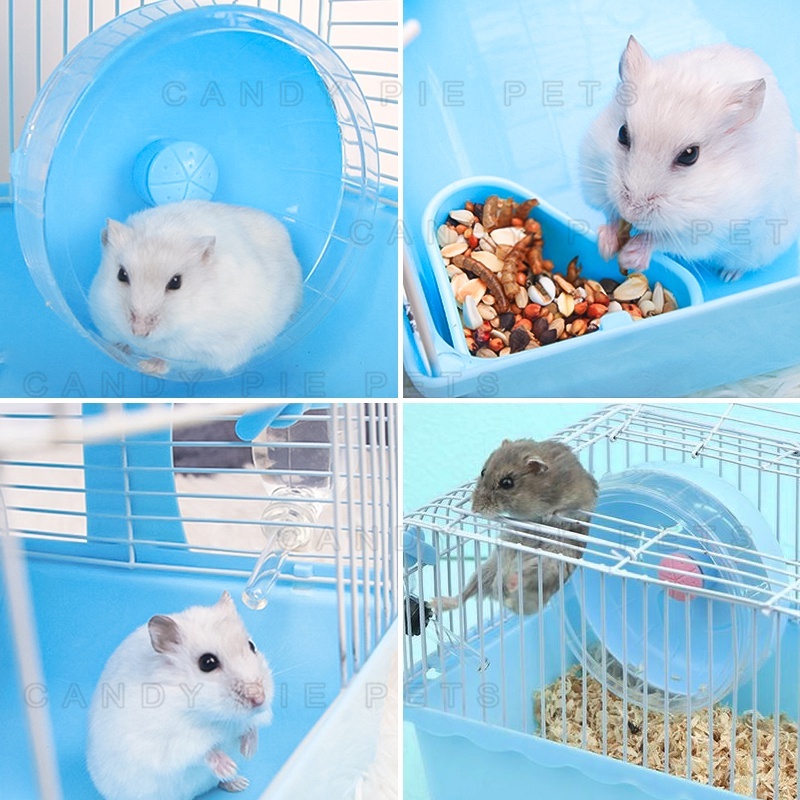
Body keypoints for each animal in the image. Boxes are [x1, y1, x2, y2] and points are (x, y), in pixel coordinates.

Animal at [87, 591, 274, 800]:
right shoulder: (177, 741)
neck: (216, 716)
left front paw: (248, 751)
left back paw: (239, 783)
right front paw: (229, 766)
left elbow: (251, 728)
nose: (259, 699)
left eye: (251, 646)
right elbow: (205, 752)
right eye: (207, 663)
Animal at [88, 200, 303, 373]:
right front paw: (119, 350)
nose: (139, 332)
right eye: (121, 274)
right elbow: (118, 340)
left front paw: (148, 366)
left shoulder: (204, 348)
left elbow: (172, 358)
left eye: (176, 282)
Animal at [433, 439, 597, 616]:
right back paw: (436, 602)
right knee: (465, 596)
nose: (475, 509)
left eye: (507, 483)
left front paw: (549, 515)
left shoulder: (581, 500)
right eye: (483, 472)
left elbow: (566, 511)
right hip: (486, 570)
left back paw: (512, 581)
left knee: (525, 585)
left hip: (547, 565)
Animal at [580, 36, 800, 281]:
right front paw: (605, 247)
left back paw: (728, 275)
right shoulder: (594, 177)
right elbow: (610, 213)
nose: (631, 211)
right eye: (622, 133)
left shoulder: (706, 231)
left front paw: (629, 256)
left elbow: (660, 239)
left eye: (689, 155)